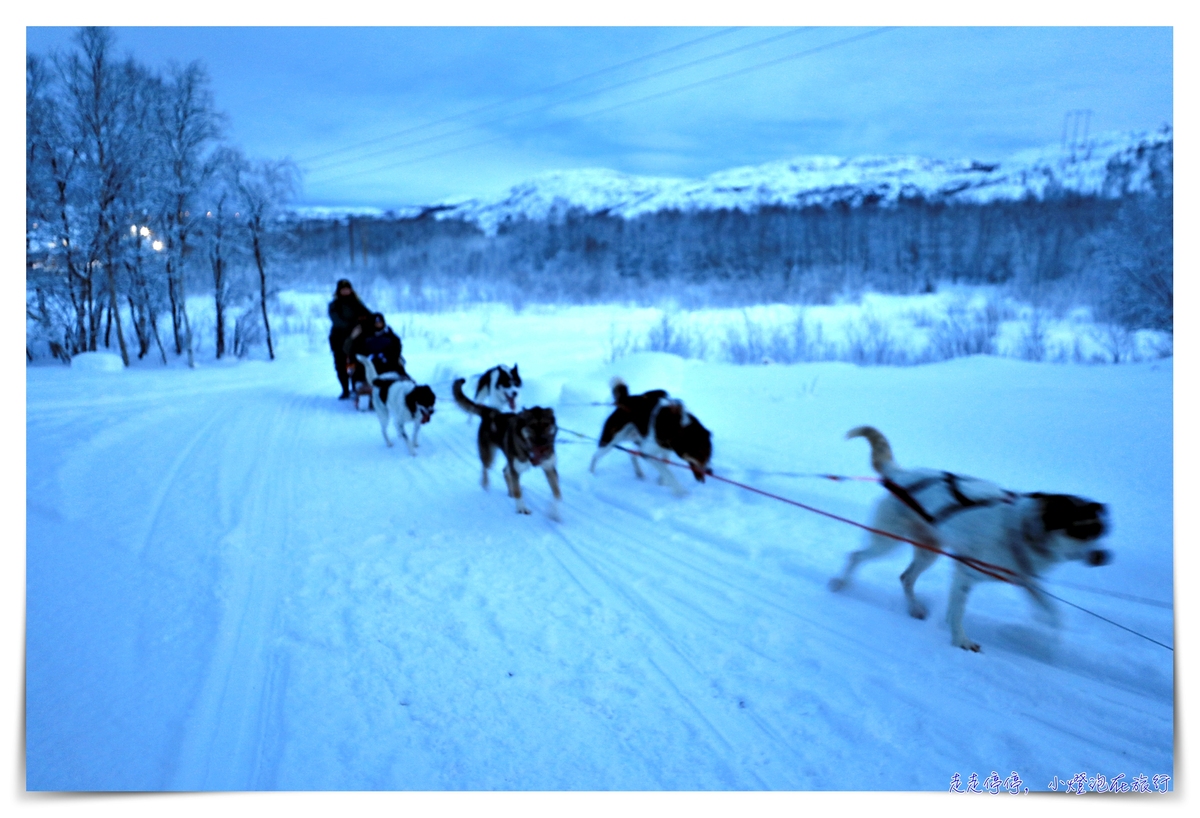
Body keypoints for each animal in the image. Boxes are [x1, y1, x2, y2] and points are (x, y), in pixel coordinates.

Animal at [453, 376, 561, 515]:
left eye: (546, 424)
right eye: (532, 426)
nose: (543, 441)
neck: (531, 452)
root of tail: (490, 411)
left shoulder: (549, 468)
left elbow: (557, 493)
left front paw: (554, 513)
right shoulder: (516, 470)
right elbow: (518, 491)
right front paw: (521, 508)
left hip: (510, 459)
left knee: (505, 471)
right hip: (490, 456)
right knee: (486, 469)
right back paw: (486, 485)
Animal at [830, 426, 1108, 647]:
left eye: (1098, 530)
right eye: (1078, 529)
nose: (1103, 556)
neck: (1019, 530)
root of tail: (900, 474)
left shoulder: (1026, 580)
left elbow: (1054, 614)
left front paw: (1049, 641)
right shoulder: (965, 575)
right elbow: (958, 612)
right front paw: (961, 640)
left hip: (928, 552)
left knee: (906, 577)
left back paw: (915, 608)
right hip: (889, 541)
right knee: (856, 556)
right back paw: (841, 583)